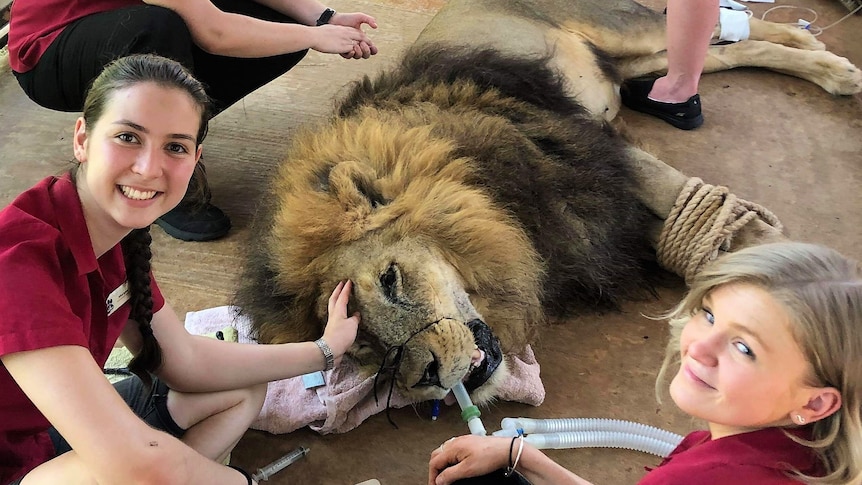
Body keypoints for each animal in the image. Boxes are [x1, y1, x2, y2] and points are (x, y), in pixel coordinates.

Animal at [233, 0, 860, 404]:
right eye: (361, 343)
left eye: (390, 281)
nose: (425, 378)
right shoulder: (586, 218)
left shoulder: (580, 147)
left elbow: (694, 204)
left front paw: (794, 268)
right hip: (632, 65)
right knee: (722, 53)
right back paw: (825, 65)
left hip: (626, 32)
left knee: (725, 30)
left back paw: (822, 54)